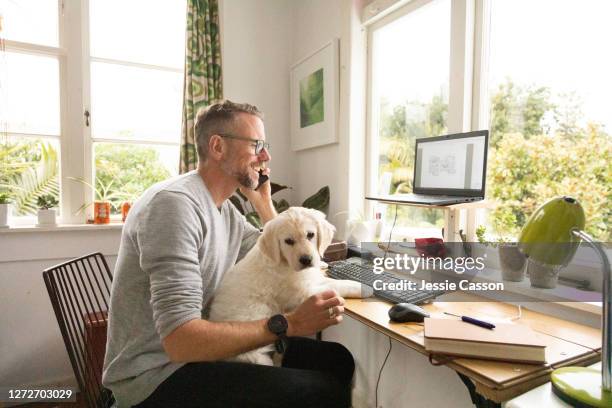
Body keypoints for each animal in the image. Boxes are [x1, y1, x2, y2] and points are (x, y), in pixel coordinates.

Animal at [210, 207, 370, 364]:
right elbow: (335, 287)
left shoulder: (311, 279)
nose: (306, 260)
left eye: (310, 235)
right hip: (254, 347)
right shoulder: (302, 294)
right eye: (288, 241)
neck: (285, 263)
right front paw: (365, 289)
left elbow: (335, 281)